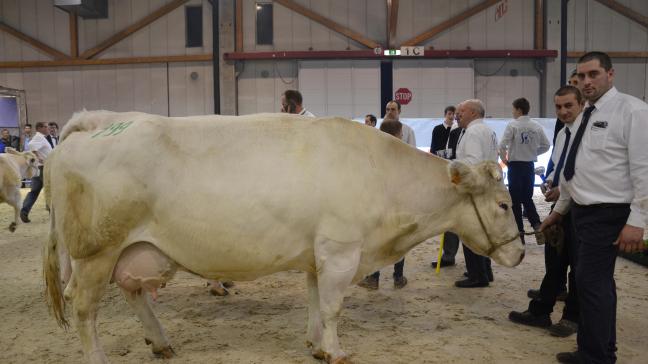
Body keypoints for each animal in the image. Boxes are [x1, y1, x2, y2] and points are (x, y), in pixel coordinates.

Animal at [43, 111, 524, 364]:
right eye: (503, 205)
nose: (521, 252)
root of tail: (103, 121)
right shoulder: (341, 251)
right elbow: (332, 308)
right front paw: (335, 350)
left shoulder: (317, 255)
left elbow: (314, 302)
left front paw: (315, 344)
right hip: (95, 252)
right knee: (84, 307)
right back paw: (99, 357)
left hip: (132, 250)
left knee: (133, 293)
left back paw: (161, 342)